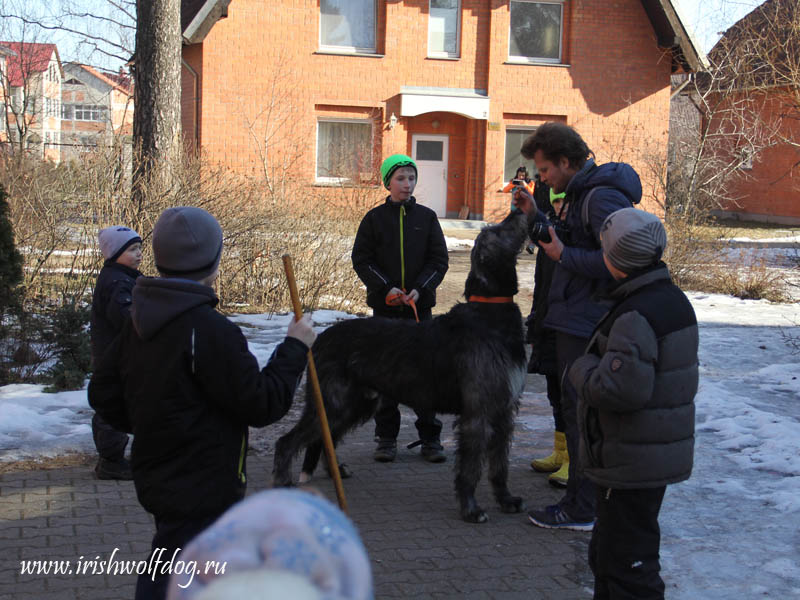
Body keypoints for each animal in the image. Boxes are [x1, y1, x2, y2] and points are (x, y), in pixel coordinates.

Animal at [272, 210, 528, 520]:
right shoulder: (477, 412)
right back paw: (283, 484)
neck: (490, 314)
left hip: (355, 402)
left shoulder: (504, 410)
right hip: (333, 400)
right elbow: (470, 467)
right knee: (287, 441)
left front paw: (506, 499)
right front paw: (470, 508)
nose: (519, 209)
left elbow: (500, 464)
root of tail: (319, 339)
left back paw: (336, 470)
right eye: (498, 231)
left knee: (325, 436)